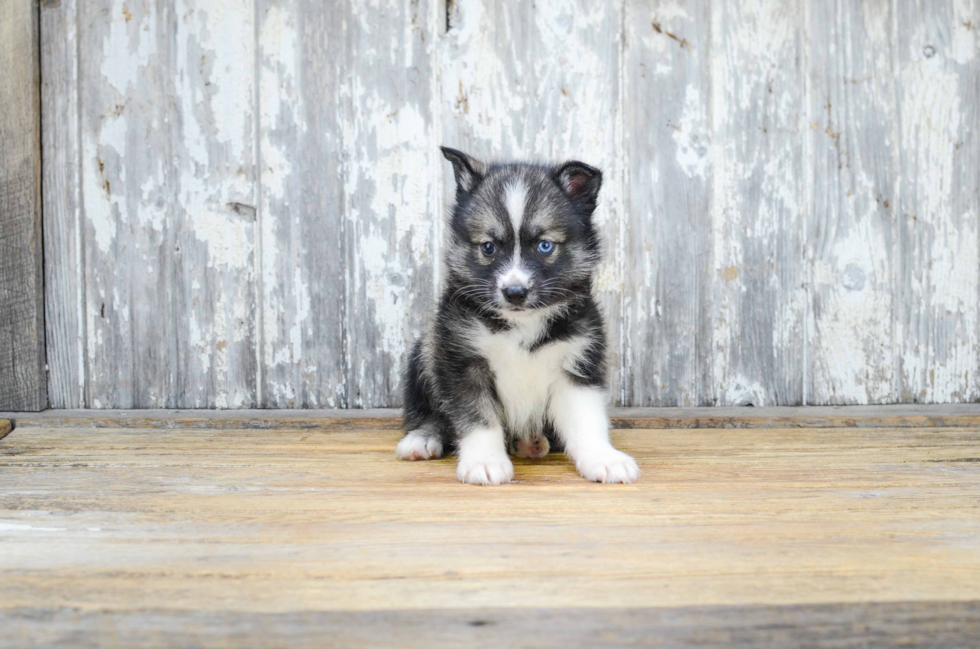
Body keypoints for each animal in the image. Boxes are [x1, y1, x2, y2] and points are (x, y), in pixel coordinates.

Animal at [394, 144, 640, 484]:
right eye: (488, 247)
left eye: (545, 246)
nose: (514, 292)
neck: (522, 324)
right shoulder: (463, 361)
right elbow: (478, 417)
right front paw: (484, 461)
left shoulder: (577, 363)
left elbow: (586, 419)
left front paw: (603, 458)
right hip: (426, 352)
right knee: (428, 413)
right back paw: (422, 438)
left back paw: (531, 441)